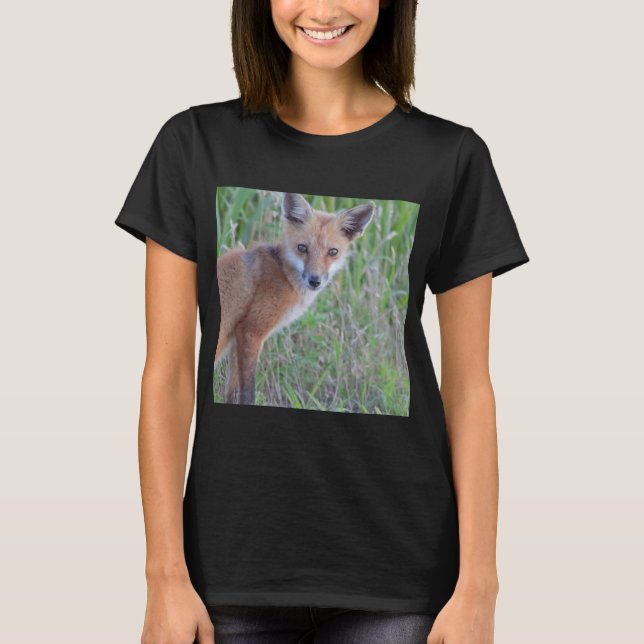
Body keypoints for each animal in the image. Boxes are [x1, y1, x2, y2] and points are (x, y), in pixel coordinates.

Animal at [214, 192, 375, 406]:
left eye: (333, 252)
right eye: (302, 248)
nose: (314, 280)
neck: (283, 274)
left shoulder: (237, 339)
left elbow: (232, 391)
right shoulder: (251, 331)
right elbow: (248, 391)